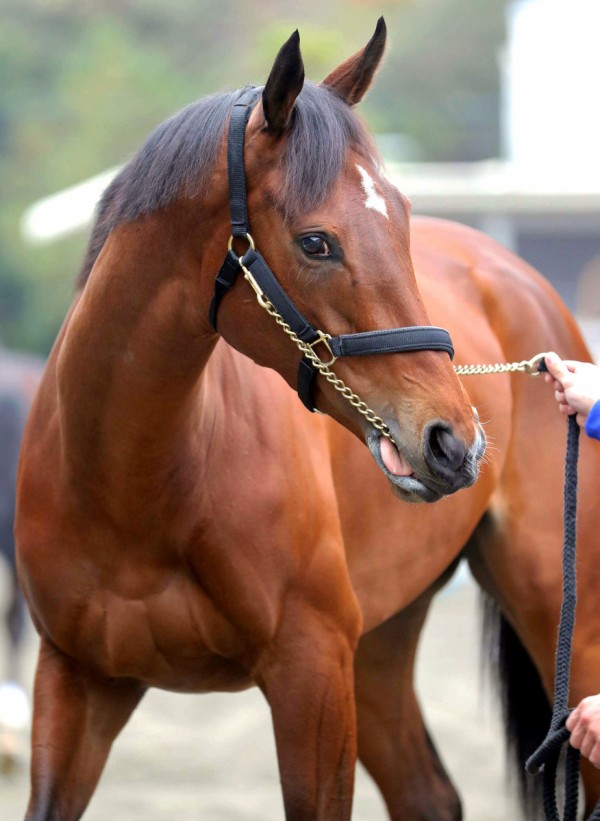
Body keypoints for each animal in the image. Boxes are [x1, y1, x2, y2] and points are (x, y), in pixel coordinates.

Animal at [14, 19, 600, 820]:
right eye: (316, 242)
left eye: (403, 220)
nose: (455, 443)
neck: (129, 486)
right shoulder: (76, 682)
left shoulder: (311, 675)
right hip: (379, 645)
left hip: (562, 618)